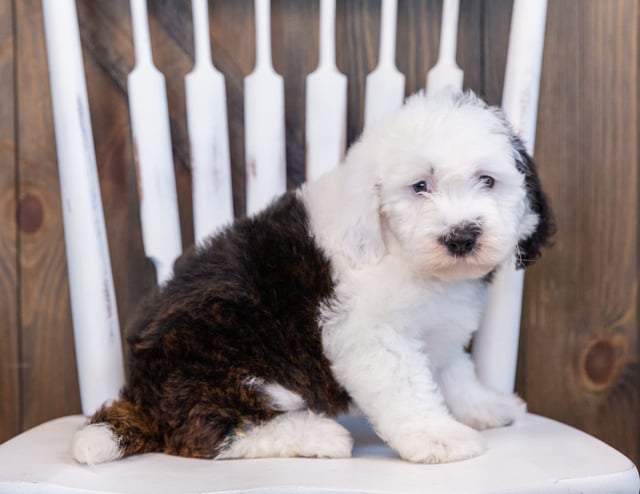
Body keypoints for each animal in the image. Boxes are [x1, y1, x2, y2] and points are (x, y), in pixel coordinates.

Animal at [69, 90, 552, 466]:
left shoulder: (439, 333)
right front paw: (439, 438)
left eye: (487, 180)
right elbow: (406, 388)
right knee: (209, 431)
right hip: (226, 360)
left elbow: (454, 372)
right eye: (420, 187)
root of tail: (139, 392)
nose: (461, 236)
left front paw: (483, 406)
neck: (400, 249)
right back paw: (316, 435)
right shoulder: (369, 335)